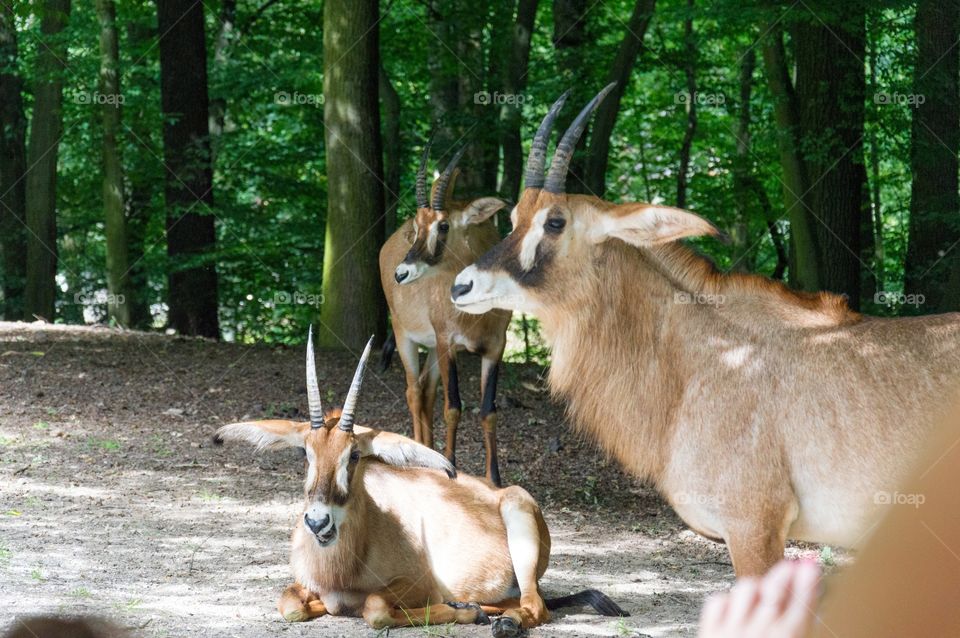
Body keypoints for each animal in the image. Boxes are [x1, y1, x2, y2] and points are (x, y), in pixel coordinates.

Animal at [214, 330, 628, 636]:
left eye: (354, 455)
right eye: (306, 453)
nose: (318, 522)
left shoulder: (419, 584)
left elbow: (375, 608)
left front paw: (463, 611)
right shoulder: (305, 583)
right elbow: (290, 604)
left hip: (519, 523)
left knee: (535, 605)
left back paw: (499, 621)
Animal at [378, 144, 512, 484]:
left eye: (443, 224)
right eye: (417, 226)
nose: (401, 273)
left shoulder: (496, 346)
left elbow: (488, 410)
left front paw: (494, 479)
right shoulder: (448, 342)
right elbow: (453, 406)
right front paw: (451, 467)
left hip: (433, 350)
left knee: (426, 390)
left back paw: (428, 452)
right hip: (407, 338)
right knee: (414, 391)